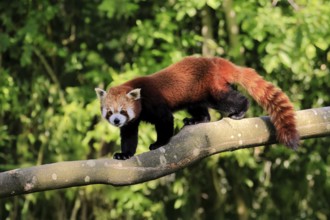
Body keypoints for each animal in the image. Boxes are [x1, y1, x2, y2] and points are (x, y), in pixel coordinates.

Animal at [94, 56, 300, 160]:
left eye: (122, 110)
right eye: (110, 112)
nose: (116, 120)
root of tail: (215, 61)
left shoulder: (154, 102)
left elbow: (165, 121)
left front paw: (159, 143)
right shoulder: (132, 120)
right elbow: (129, 136)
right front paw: (124, 154)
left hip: (211, 88)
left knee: (228, 99)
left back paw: (240, 110)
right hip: (195, 95)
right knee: (199, 108)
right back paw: (197, 120)